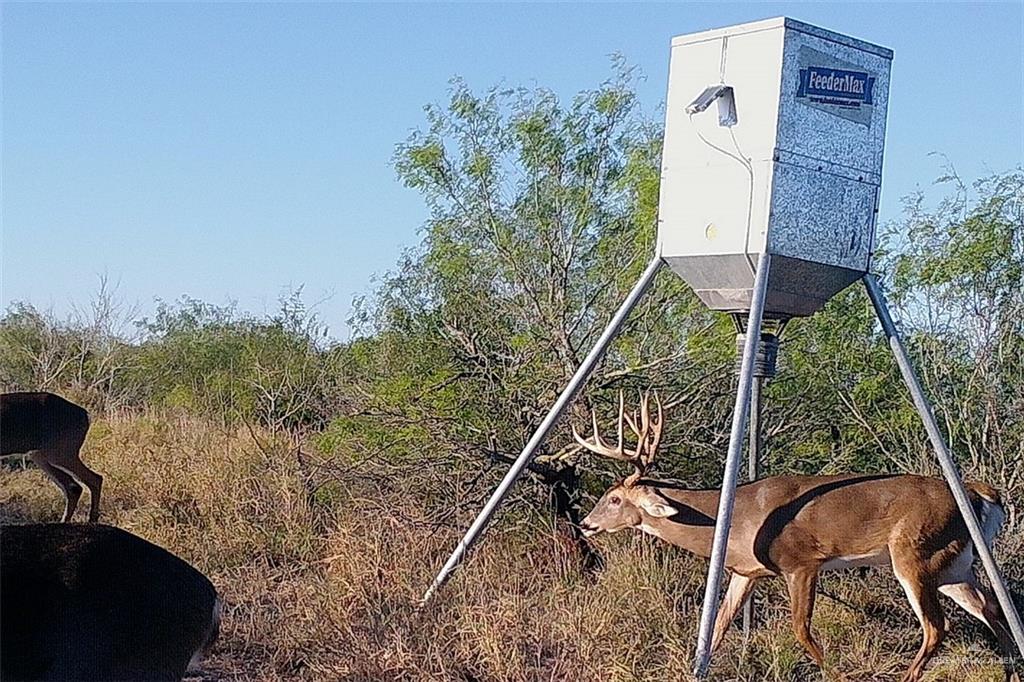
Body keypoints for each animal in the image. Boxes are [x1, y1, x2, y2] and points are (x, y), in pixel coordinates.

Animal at [0, 387, 102, 520]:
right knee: (74, 487)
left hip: (60, 452)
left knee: (95, 479)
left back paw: (91, 520)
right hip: (42, 455)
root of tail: (86, 415)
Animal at [573, 393, 1019, 679]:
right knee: (992, 609)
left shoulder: (801, 562)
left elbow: (800, 629)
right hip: (953, 564)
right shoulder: (745, 572)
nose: (586, 524)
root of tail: (980, 493)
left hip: (914, 553)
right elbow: (716, 629)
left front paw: (835, 673)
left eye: (614, 498)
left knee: (936, 627)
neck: (735, 521)